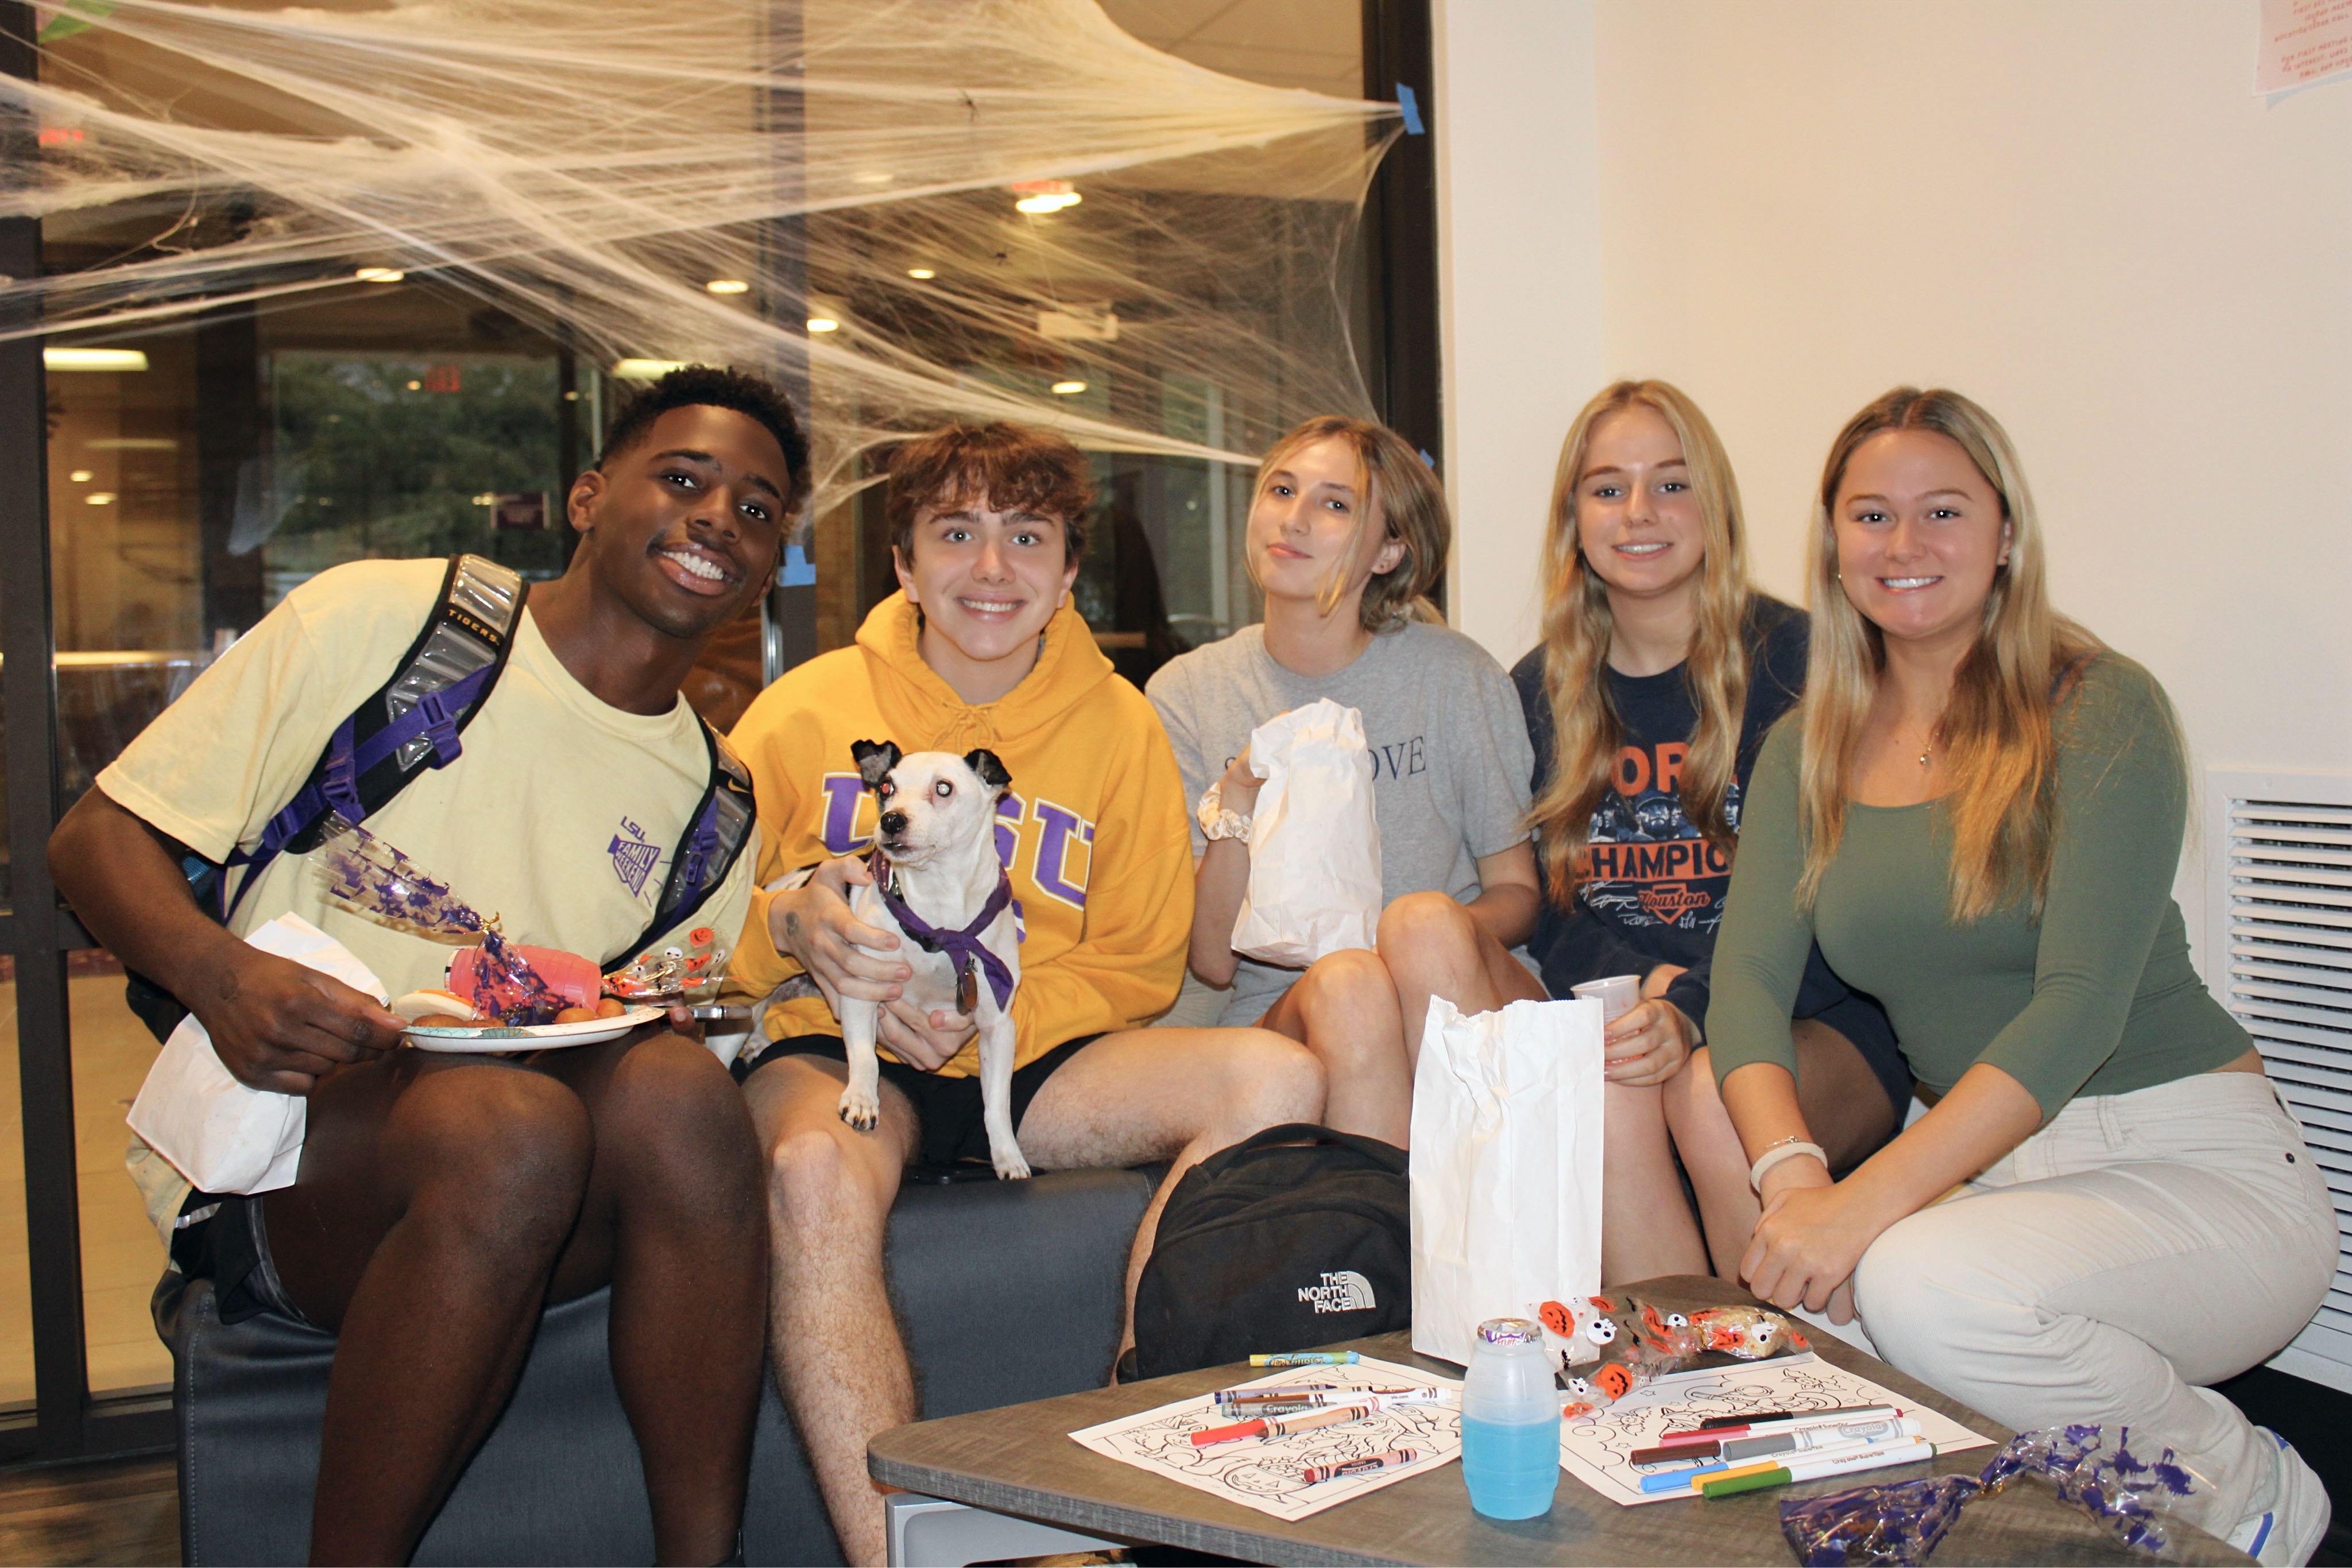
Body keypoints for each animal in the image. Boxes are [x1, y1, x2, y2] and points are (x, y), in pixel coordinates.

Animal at [842, 748, 1035, 1175]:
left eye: (943, 788)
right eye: (886, 788)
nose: (891, 820)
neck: (940, 909)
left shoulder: (997, 1027)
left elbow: (997, 1104)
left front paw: (1007, 1154)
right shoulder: (862, 992)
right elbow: (865, 1057)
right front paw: (861, 1098)